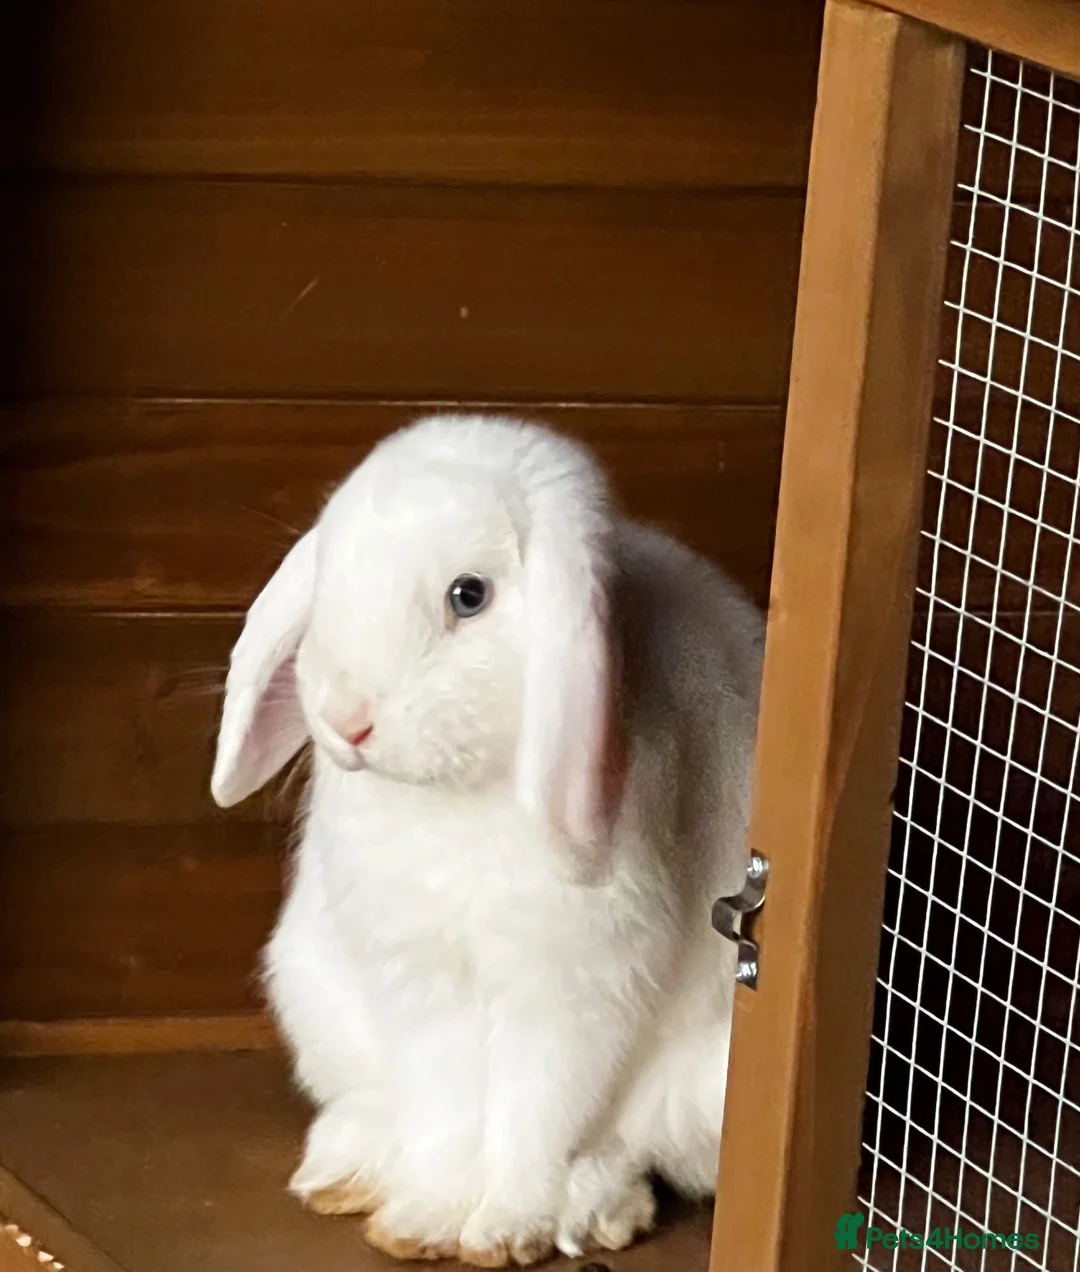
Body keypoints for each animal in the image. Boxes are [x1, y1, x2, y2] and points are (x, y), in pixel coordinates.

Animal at [210, 413, 764, 1267]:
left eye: (468, 596)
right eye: (331, 570)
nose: (346, 718)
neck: (455, 803)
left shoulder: (571, 985)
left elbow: (535, 1113)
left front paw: (505, 1228)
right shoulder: (420, 977)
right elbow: (446, 1112)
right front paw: (424, 1220)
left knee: (624, 1149)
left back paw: (586, 1214)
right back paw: (347, 1172)